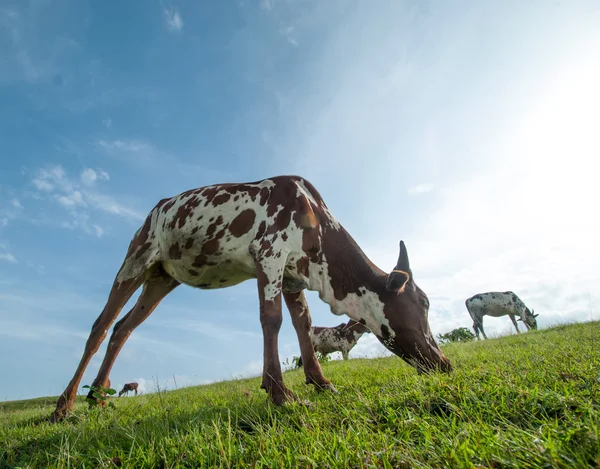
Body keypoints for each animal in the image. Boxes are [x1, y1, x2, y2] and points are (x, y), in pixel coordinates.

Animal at [50, 174, 450, 422]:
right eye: (423, 303)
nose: (444, 362)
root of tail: (156, 208)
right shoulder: (269, 254)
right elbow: (271, 319)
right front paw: (279, 392)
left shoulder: (293, 275)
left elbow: (303, 324)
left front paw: (321, 382)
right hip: (136, 259)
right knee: (101, 326)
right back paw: (63, 407)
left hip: (161, 279)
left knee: (123, 328)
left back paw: (97, 397)